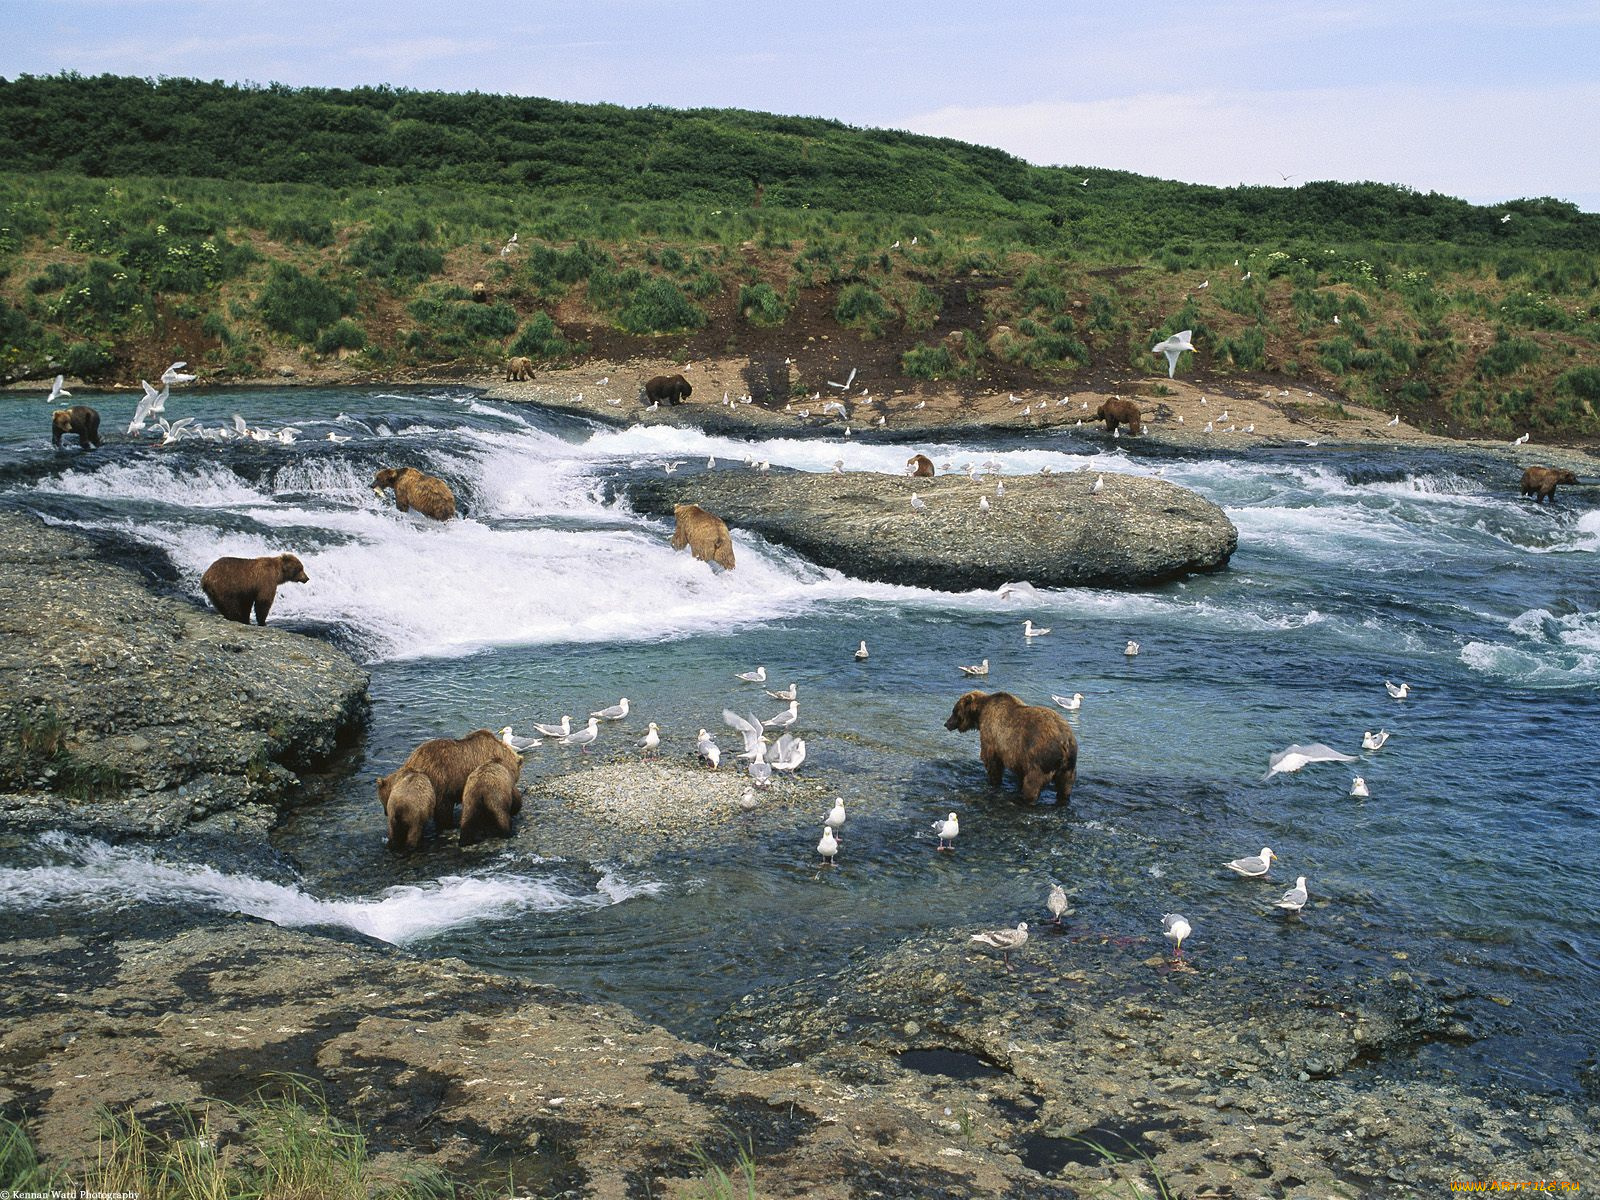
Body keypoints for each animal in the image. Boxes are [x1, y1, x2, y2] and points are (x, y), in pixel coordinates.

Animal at [940, 691, 1081, 803]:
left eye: (954, 711)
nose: (946, 723)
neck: (980, 714)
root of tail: (1065, 742)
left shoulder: (993, 737)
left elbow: (992, 762)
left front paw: (993, 782)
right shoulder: (1019, 756)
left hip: (1039, 760)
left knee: (1033, 784)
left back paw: (1026, 799)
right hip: (1069, 766)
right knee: (1065, 786)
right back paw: (1063, 800)